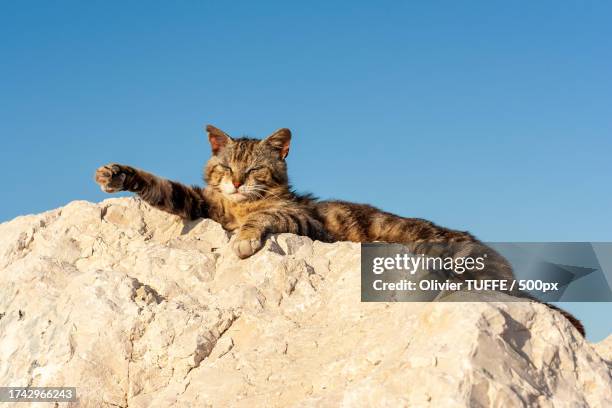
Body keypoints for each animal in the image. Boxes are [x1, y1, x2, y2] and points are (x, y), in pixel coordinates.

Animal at [94, 126, 584, 336]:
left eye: (253, 169)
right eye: (226, 166)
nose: (235, 182)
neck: (238, 204)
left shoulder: (304, 221)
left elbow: (265, 219)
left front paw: (247, 239)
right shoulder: (202, 203)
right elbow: (162, 185)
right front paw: (117, 173)